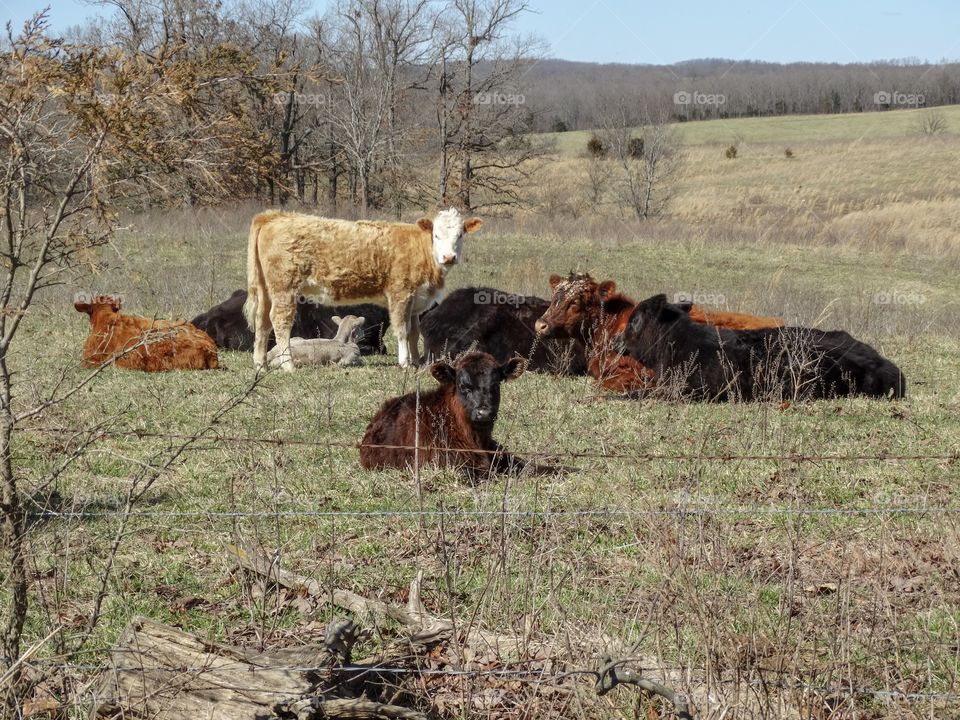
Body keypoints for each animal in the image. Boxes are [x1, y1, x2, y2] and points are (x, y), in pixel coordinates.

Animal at [244, 208, 482, 371]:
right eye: (436, 236)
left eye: (460, 235)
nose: (449, 257)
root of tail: (276, 216)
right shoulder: (400, 294)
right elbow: (403, 331)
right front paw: (405, 362)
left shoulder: (416, 300)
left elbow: (414, 332)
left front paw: (416, 362)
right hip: (284, 288)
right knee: (280, 322)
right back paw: (288, 364)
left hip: (267, 290)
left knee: (262, 321)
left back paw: (261, 364)